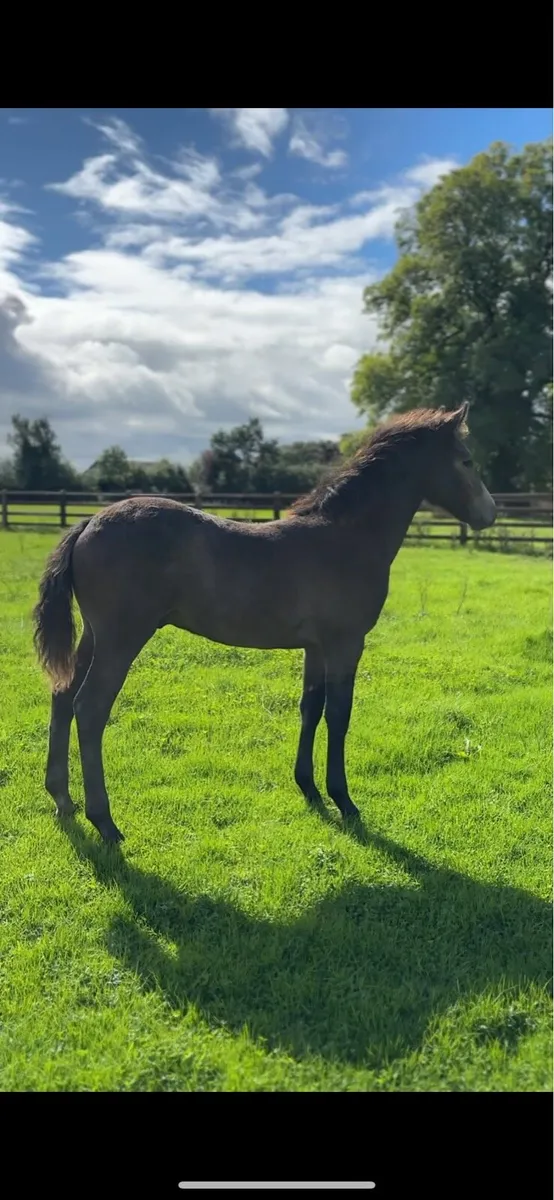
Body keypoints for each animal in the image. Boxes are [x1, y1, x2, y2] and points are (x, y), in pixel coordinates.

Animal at [33, 403, 496, 843]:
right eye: (467, 460)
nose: (490, 513)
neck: (347, 536)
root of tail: (88, 523)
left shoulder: (316, 647)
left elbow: (311, 707)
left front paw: (308, 788)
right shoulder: (346, 643)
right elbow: (339, 714)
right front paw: (344, 800)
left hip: (94, 636)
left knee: (63, 696)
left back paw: (62, 800)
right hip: (122, 638)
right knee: (90, 708)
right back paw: (105, 822)